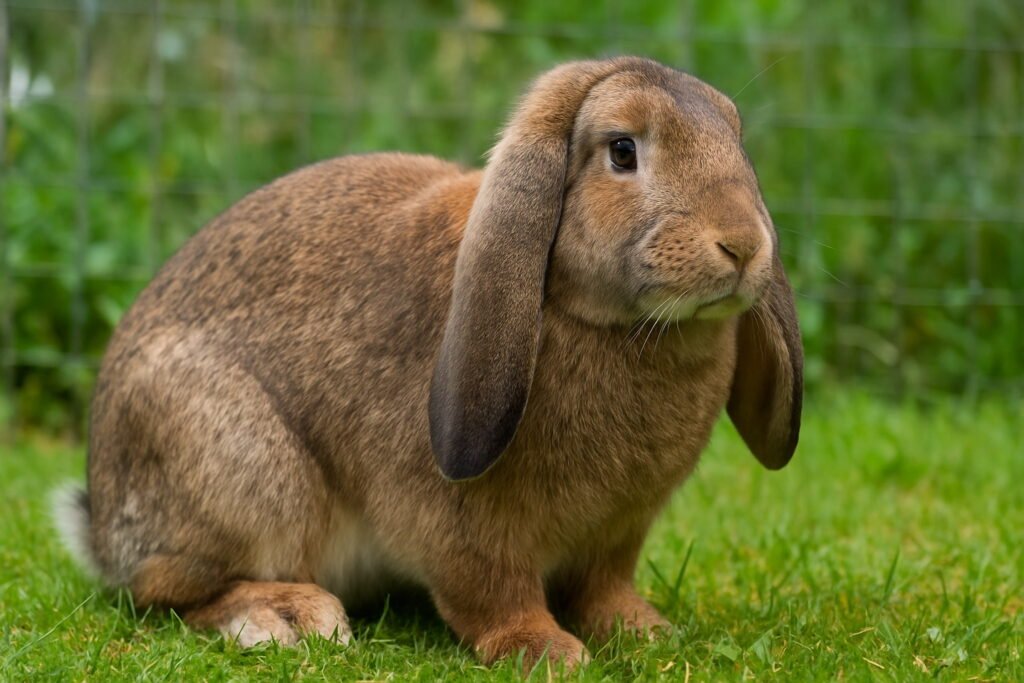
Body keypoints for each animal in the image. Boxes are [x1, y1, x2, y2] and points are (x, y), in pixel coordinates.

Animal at [53, 56, 802, 668]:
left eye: (734, 138)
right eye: (622, 150)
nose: (742, 244)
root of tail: (101, 523)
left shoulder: (616, 534)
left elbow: (604, 586)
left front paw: (644, 632)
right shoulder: (459, 526)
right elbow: (491, 591)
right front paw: (543, 650)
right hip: (244, 472)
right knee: (166, 591)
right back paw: (288, 617)